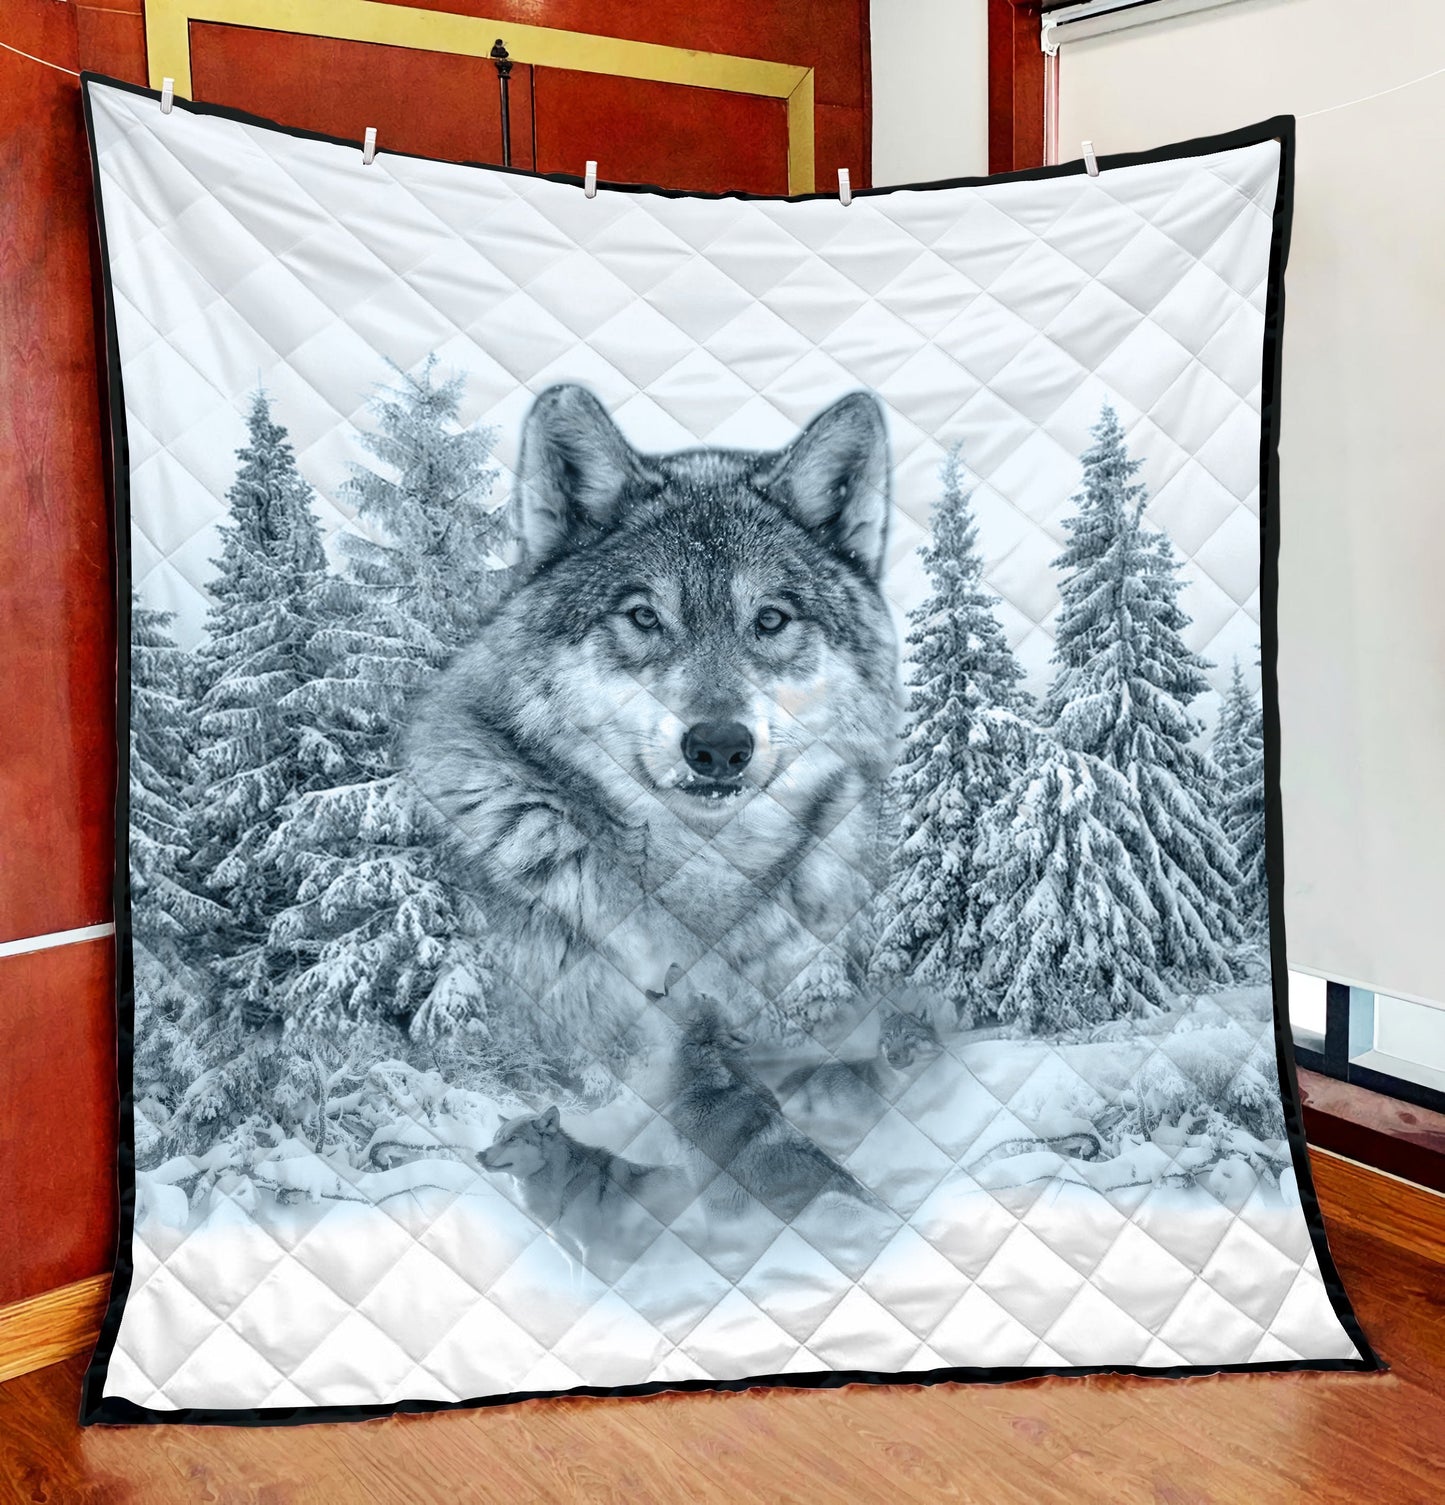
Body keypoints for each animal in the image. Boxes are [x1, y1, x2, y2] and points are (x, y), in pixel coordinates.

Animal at [479, 1106, 689, 1277]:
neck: (565, 1185)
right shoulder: (573, 1258)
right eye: (495, 1139)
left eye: (512, 1139)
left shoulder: (594, 1251)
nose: (479, 1155)